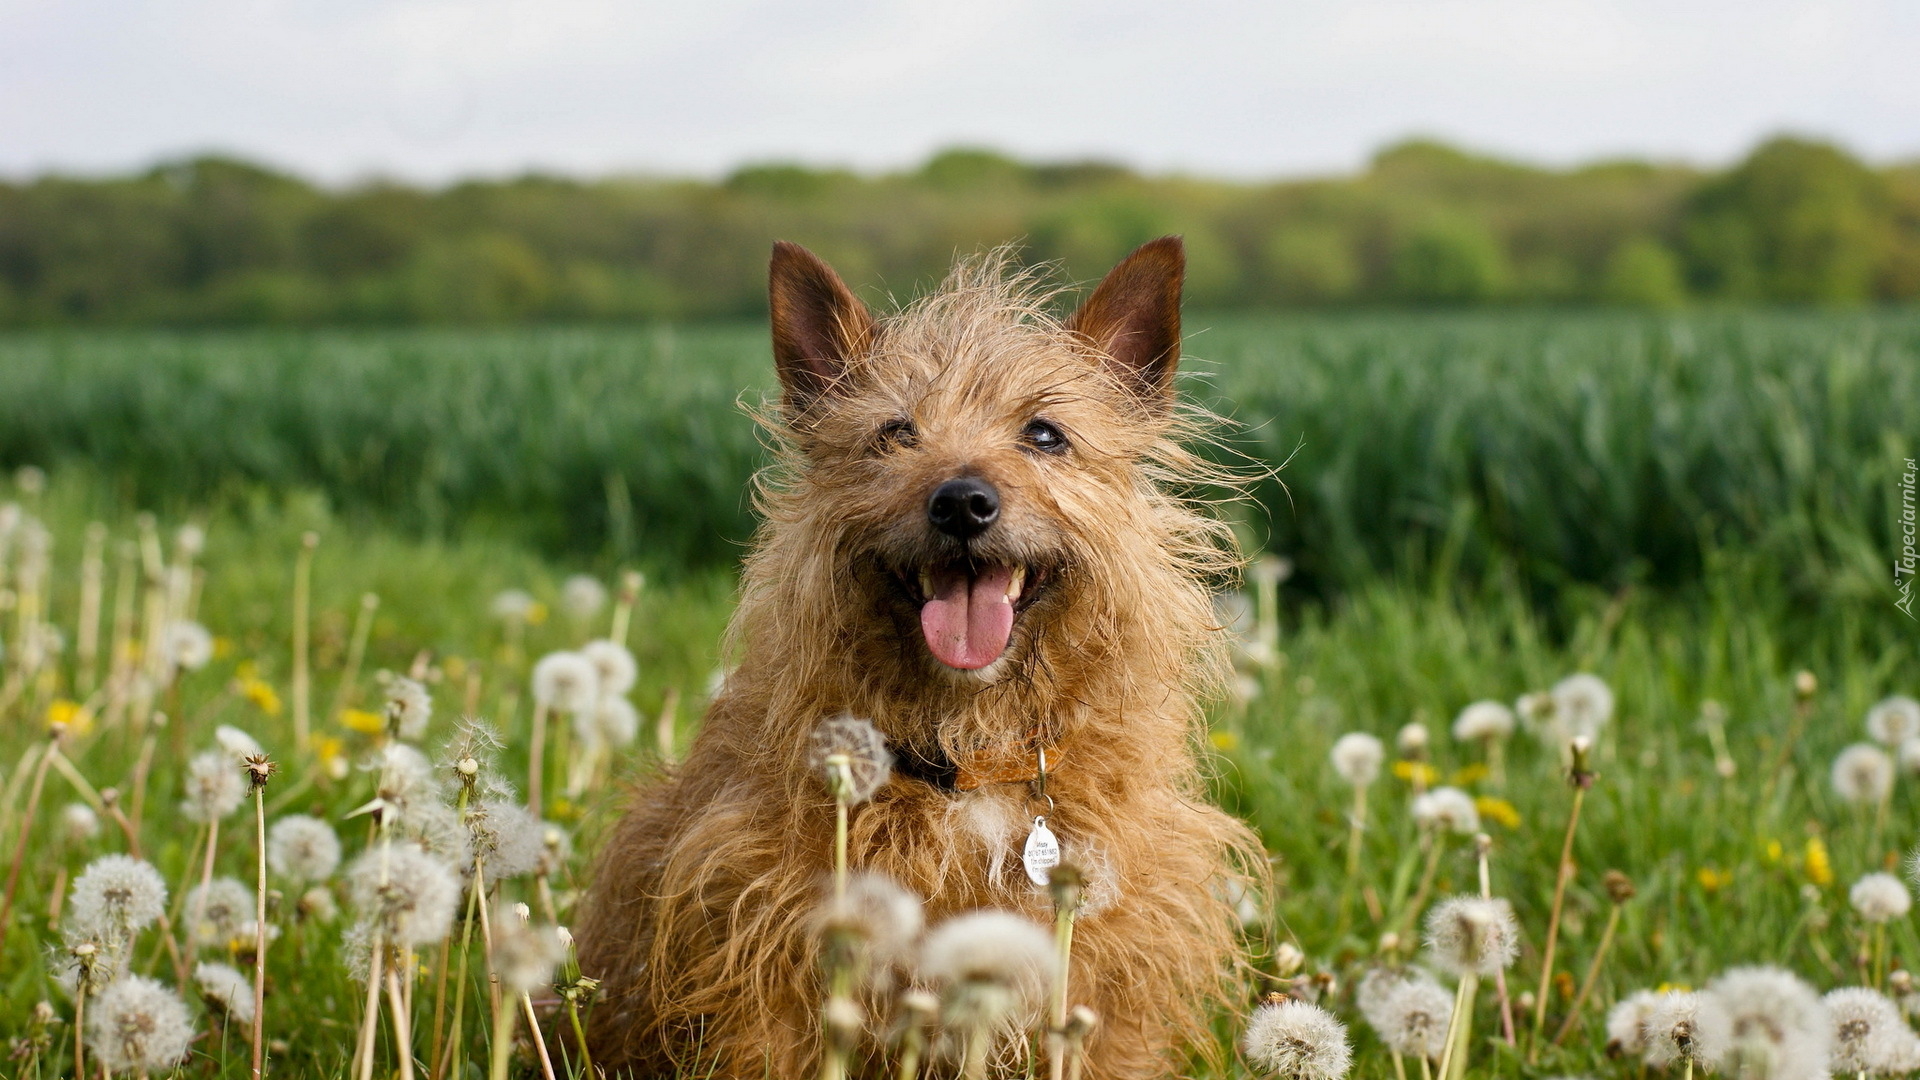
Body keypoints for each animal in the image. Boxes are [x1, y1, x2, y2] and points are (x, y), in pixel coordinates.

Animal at [576, 237, 1267, 1076]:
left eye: (1045, 434)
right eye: (894, 432)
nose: (962, 502)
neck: (969, 755)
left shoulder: (1110, 989)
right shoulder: (765, 970)